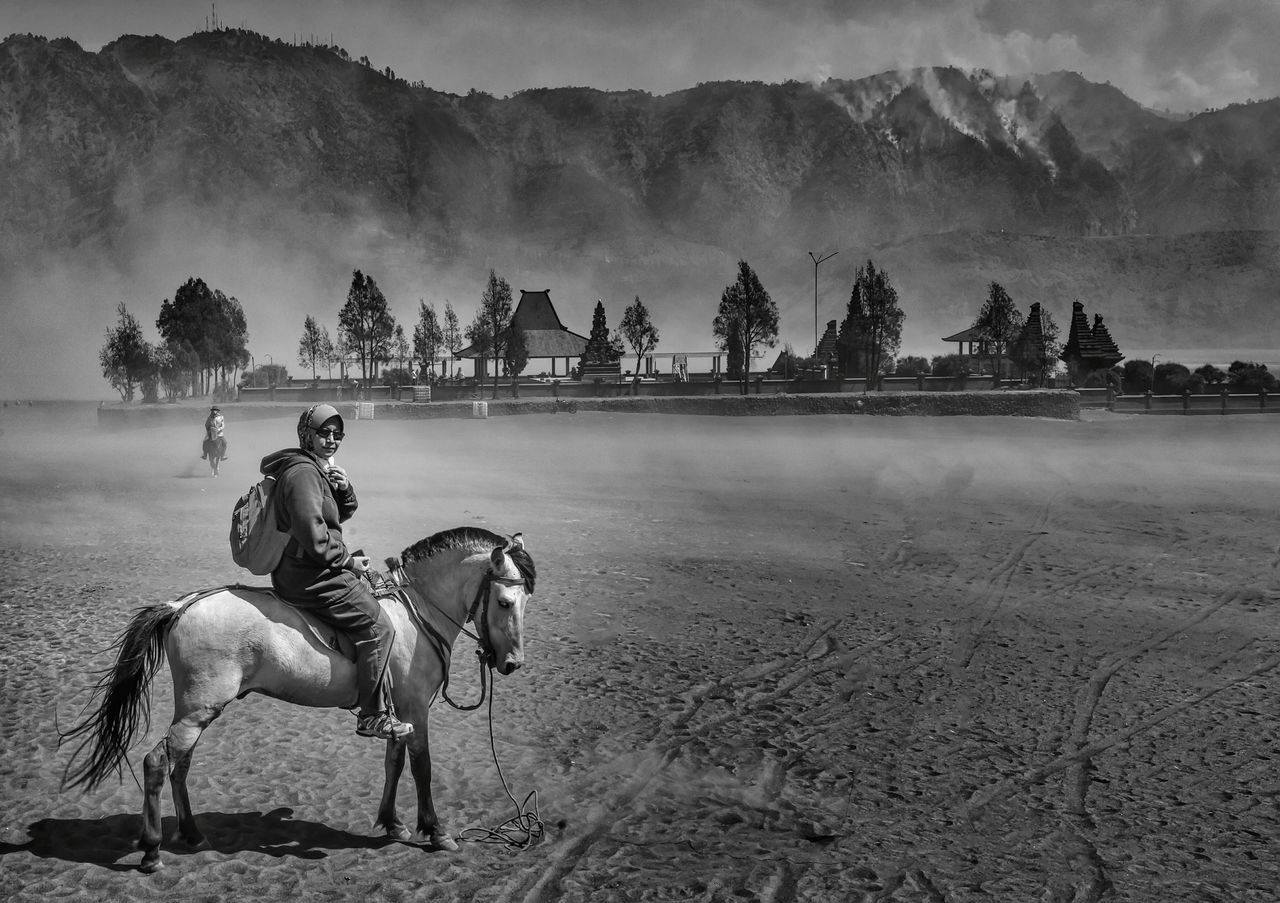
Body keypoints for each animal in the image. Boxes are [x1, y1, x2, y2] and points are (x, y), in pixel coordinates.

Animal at [58, 525, 535, 870]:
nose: (512, 663)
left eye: (526, 600)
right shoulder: (416, 706)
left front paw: (393, 824)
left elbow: (394, 763)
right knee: (158, 762)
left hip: (196, 711)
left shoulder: (398, 709)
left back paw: (191, 834)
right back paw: (153, 850)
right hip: (198, 709)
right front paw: (435, 832)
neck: (413, 613)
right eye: (504, 601)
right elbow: (422, 767)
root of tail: (181, 606)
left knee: (181, 764)